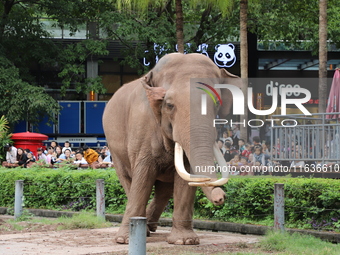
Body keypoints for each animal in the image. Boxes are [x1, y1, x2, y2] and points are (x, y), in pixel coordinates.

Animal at [102, 52, 243, 245]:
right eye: (169, 105)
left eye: (216, 105)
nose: (220, 198)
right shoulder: (142, 126)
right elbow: (143, 176)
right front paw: (124, 240)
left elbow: (186, 176)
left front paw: (185, 241)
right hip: (114, 149)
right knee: (128, 180)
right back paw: (143, 229)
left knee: (163, 190)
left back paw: (149, 227)